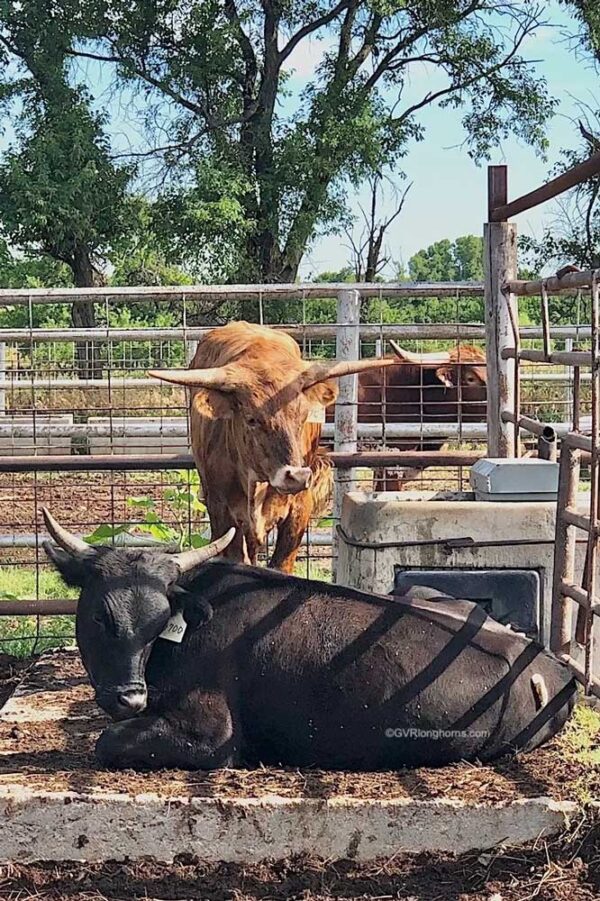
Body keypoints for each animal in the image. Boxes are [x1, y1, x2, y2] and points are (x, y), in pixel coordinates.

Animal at [42, 508, 577, 772]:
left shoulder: (211, 737)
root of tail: (551, 663)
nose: (130, 699)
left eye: (159, 623)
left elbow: (107, 742)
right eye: (100, 616)